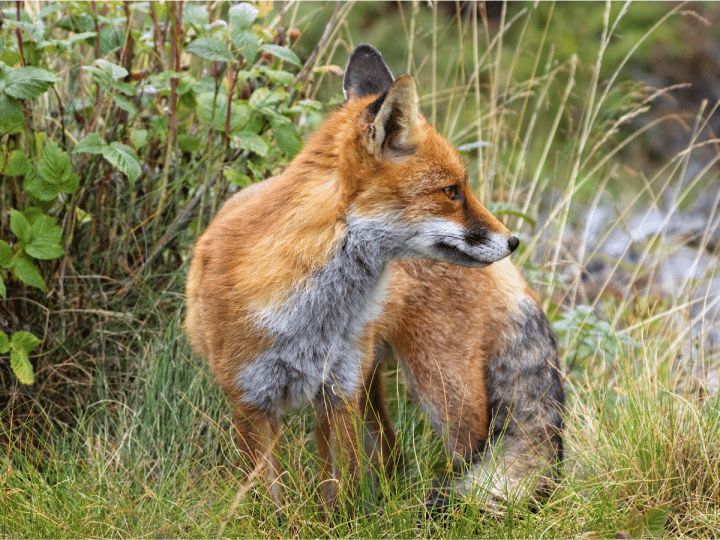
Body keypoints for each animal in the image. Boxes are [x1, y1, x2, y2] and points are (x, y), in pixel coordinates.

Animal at [185, 44, 564, 510]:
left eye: (463, 188)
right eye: (451, 191)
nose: (513, 240)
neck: (311, 316)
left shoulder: (338, 393)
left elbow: (340, 498)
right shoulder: (251, 402)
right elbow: (267, 503)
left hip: (441, 391)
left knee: (457, 455)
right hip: (378, 387)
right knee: (392, 452)